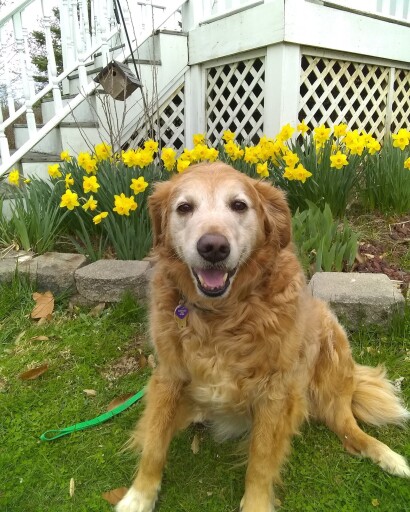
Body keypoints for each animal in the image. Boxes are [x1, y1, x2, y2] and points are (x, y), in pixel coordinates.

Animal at [116, 161, 410, 512]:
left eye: (239, 205)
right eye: (184, 208)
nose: (213, 247)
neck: (220, 316)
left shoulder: (275, 392)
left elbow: (260, 460)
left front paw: (255, 502)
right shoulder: (168, 376)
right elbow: (154, 441)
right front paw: (140, 495)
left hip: (331, 363)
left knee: (350, 429)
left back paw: (389, 457)